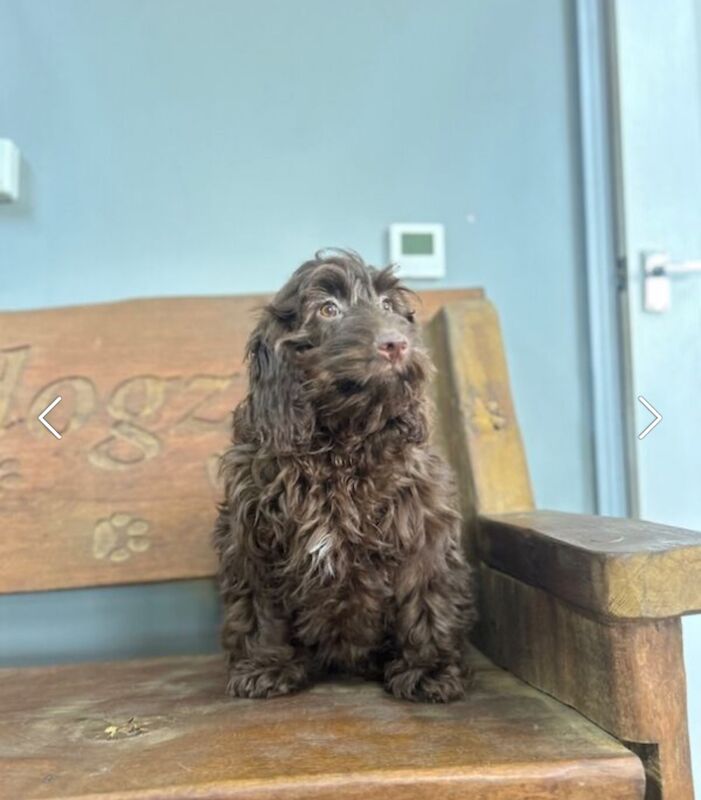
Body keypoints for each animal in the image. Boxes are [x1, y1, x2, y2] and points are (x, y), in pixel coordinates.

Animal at [212, 248, 476, 700]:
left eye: (388, 306)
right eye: (328, 309)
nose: (396, 345)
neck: (342, 444)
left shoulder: (423, 526)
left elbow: (425, 598)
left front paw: (428, 670)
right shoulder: (251, 533)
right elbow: (260, 606)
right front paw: (266, 665)